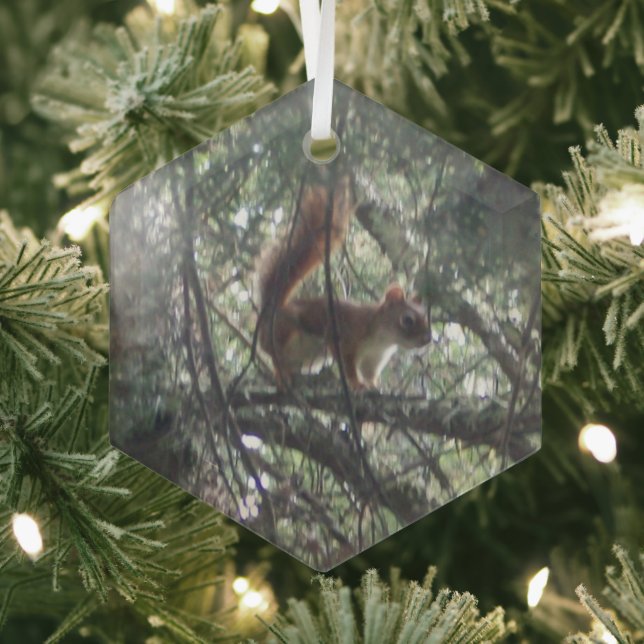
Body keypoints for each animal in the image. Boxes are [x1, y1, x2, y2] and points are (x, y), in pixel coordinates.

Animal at [257, 181, 432, 390]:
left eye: (425, 316)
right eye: (407, 320)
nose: (428, 339)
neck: (382, 337)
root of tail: (271, 311)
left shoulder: (373, 359)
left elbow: (370, 374)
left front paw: (374, 386)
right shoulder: (345, 337)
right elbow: (348, 367)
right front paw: (356, 384)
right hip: (284, 331)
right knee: (274, 354)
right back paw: (281, 372)